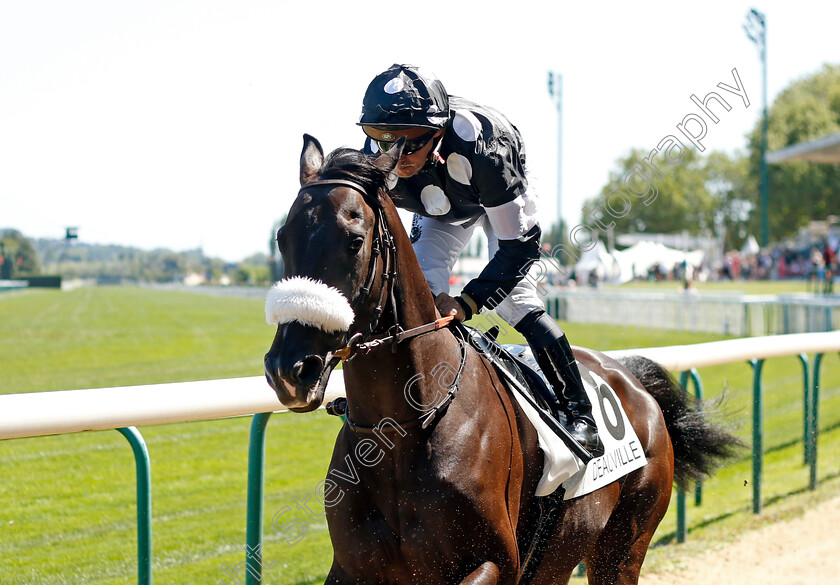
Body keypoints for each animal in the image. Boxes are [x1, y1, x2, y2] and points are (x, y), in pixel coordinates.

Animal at [264, 136, 740, 584]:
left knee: (526, 305)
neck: (399, 433)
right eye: (282, 239)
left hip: (621, 548)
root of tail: (635, 382)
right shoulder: (350, 568)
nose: (289, 369)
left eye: (355, 241)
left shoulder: (496, 563)